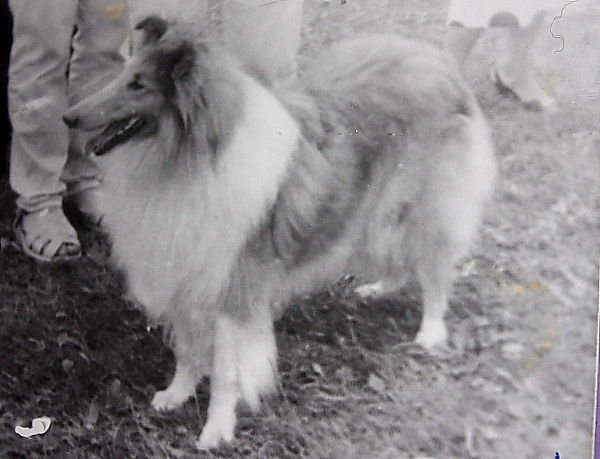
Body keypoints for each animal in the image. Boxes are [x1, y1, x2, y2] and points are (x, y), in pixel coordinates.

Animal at [63, 16, 496, 449]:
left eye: (138, 84)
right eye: (122, 74)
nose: (69, 117)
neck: (187, 159)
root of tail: (438, 61)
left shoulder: (232, 291)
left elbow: (225, 374)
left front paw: (215, 431)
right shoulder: (187, 276)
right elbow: (187, 350)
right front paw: (175, 395)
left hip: (428, 206)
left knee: (433, 270)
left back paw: (430, 331)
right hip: (377, 208)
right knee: (399, 257)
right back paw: (378, 288)